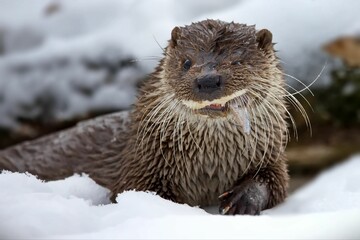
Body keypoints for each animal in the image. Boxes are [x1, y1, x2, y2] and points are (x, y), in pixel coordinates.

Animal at [0, 20, 292, 216]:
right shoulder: (140, 165)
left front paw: (242, 200)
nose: (208, 79)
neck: (210, 164)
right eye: (186, 62)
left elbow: (274, 183)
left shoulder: (271, 155)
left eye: (238, 61)